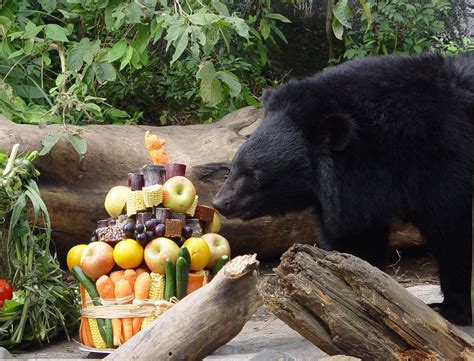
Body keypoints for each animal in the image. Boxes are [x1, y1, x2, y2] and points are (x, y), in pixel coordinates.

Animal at [213, 52, 472, 324]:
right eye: (233, 168)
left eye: (255, 176)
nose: (221, 203)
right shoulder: (360, 193)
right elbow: (357, 241)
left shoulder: (443, 160)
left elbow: (451, 231)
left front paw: (450, 309)